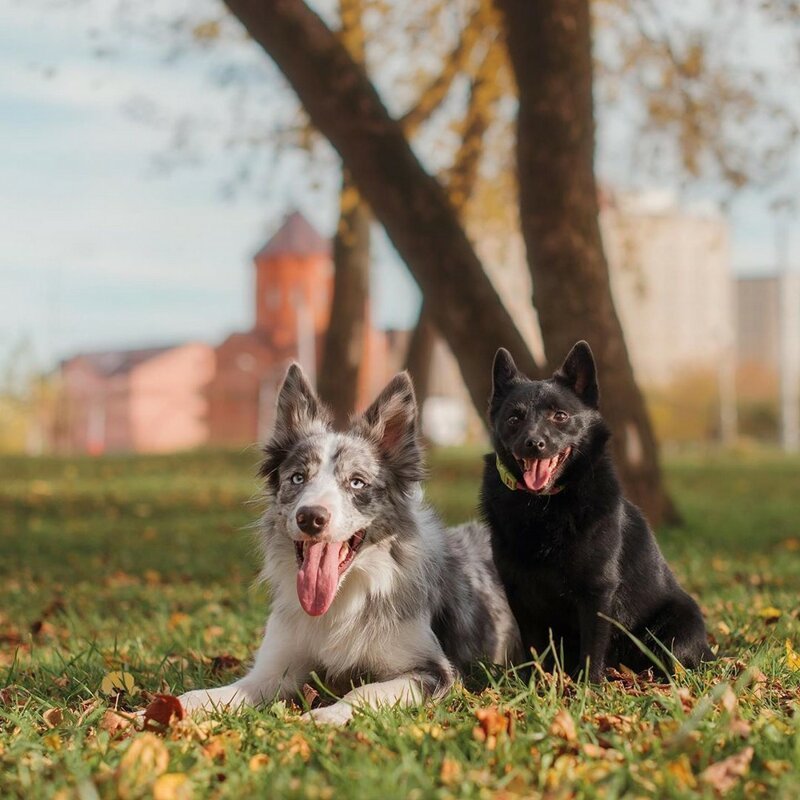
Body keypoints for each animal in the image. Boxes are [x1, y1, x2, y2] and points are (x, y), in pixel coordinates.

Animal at [482, 340, 712, 680]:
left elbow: (592, 649)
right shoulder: (520, 594)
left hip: (675, 631)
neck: (543, 507)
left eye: (560, 416)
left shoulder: (596, 592)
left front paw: (587, 687)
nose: (533, 443)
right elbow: (535, 649)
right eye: (514, 418)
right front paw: (536, 683)